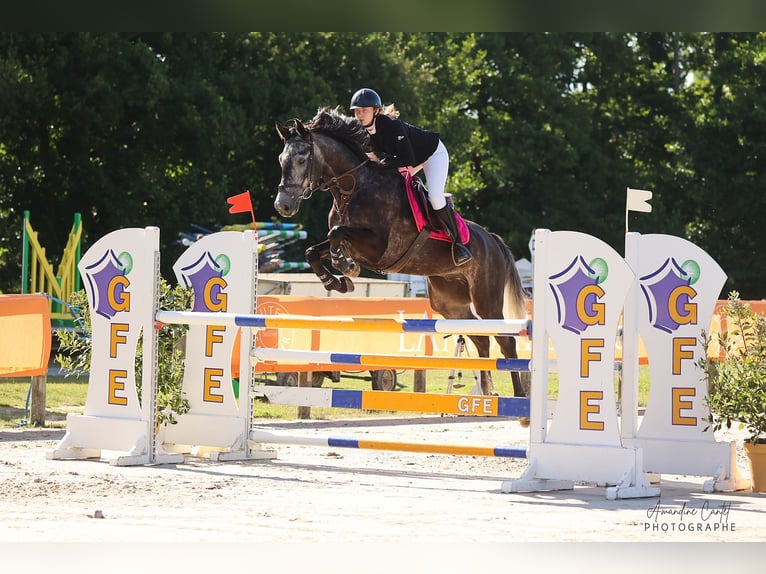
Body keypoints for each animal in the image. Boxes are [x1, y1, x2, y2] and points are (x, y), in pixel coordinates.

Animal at [274, 107, 529, 400]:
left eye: (302, 158)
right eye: (281, 159)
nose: (282, 206)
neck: (353, 187)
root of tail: (493, 240)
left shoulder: (378, 248)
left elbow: (337, 233)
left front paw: (346, 267)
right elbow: (313, 250)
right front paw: (335, 281)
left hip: (487, 297)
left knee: (505, 340)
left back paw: (519, 398)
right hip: (449, 301)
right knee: (480, 337)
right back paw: (487, 394)